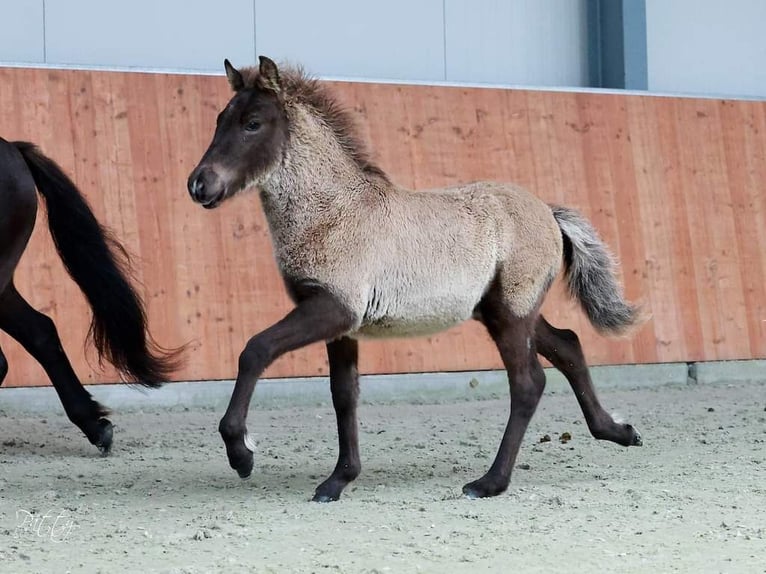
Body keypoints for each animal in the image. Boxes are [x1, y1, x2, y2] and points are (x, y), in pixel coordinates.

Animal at [188, 56, 648, 502]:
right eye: (219, 118)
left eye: (252, 123)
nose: (199, 184)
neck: (333, 211)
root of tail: (550, 213)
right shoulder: (342, 325)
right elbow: (343, 394)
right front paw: (338, 481)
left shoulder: (332, 308)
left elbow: (255, 350)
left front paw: (242, 453)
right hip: (508, 309)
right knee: (569, 345)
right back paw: (619, 432)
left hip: (511, 313)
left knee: (528, 382)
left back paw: (489, 483)